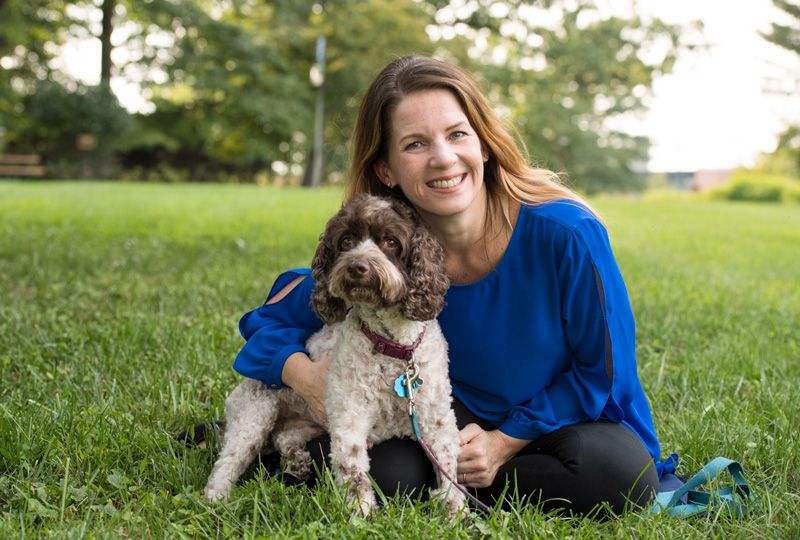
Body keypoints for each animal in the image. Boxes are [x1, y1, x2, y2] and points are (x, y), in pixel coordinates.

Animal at [206, 196, 466, 516]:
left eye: (391, 241)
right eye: (346, 241)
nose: (357, 266)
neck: (393, 348)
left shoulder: (436, 419)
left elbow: (448, 469)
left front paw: (455, 514)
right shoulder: (350, 415)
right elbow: (353, 468)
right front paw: (361, 513)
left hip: (302, 425)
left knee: (284, 438)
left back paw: (297, 462)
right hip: (254, 415)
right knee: (228, 461)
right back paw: (216, 498)